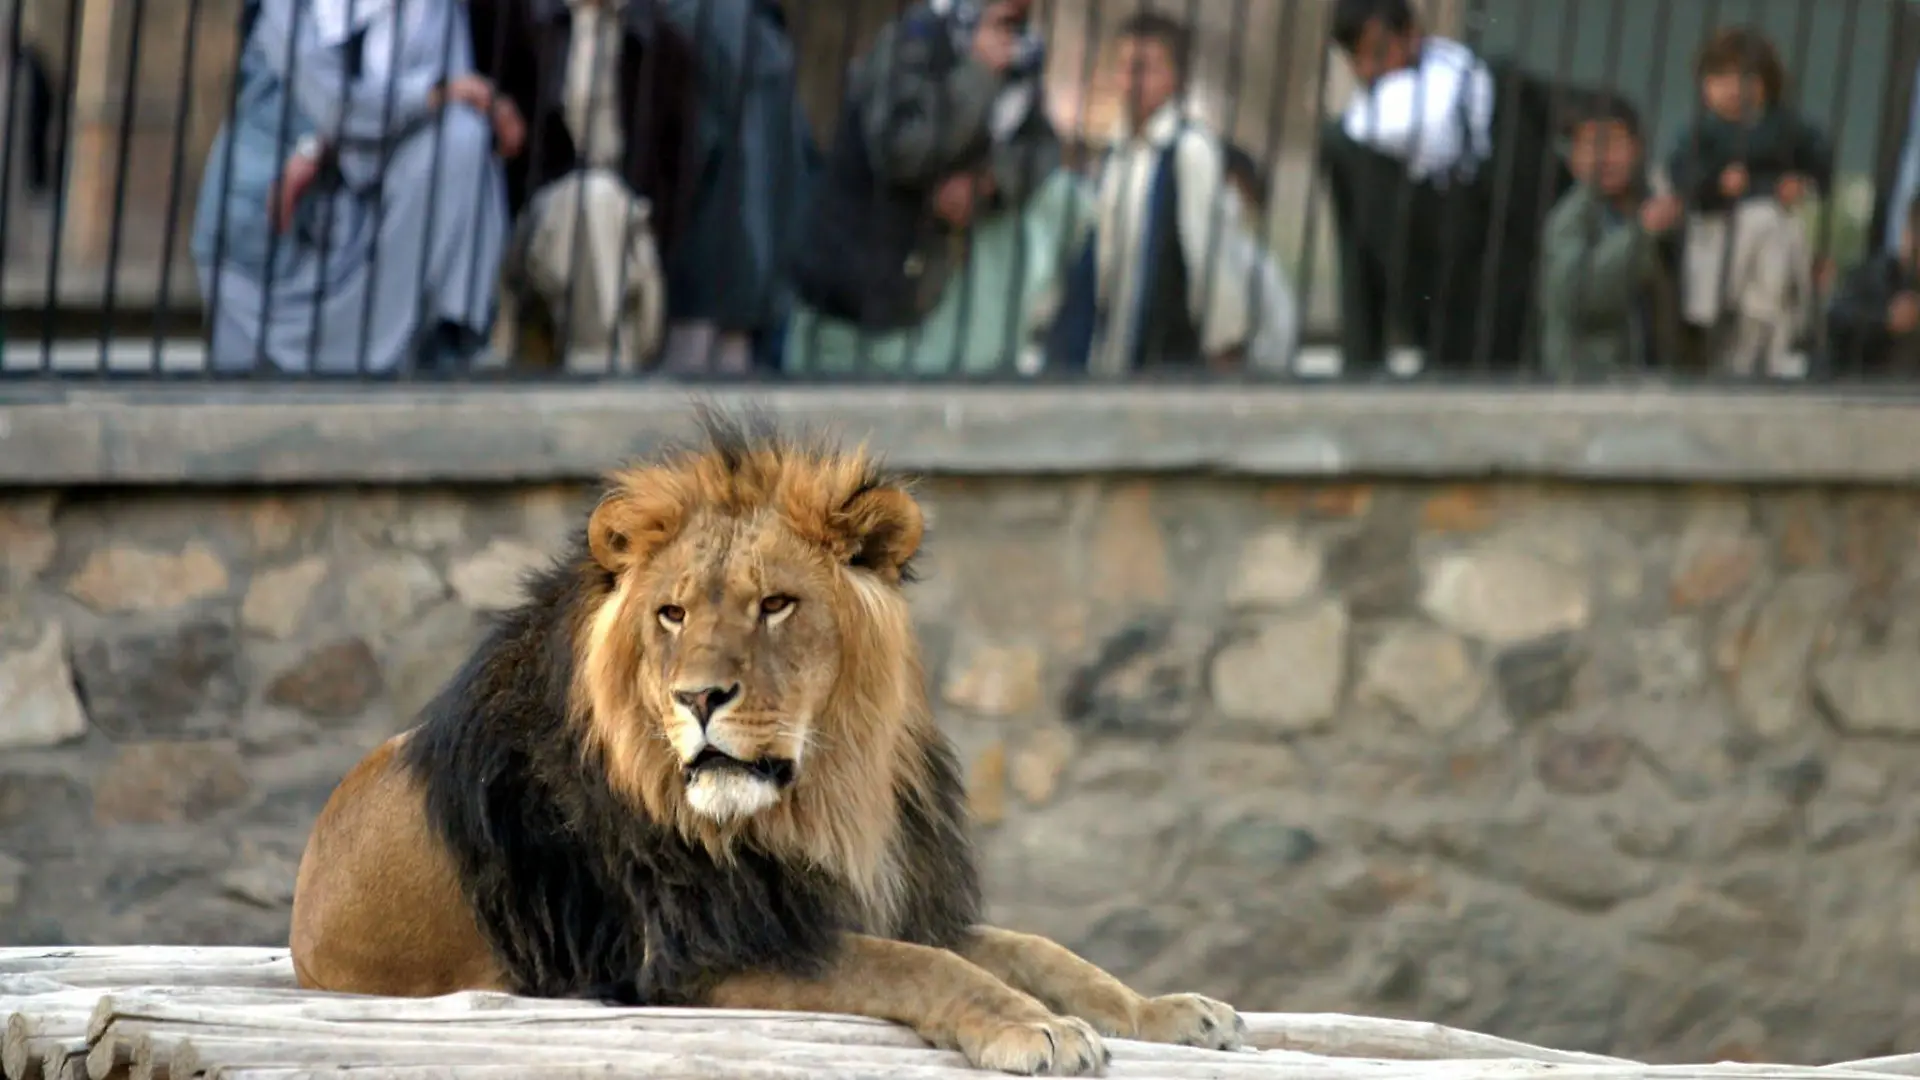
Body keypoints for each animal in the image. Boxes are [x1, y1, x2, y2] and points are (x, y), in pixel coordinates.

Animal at [287, 410, 1245, 1075]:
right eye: (672, 614)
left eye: (775, 604)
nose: (699, 697)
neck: (824, 797)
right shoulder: (706, 951)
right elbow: (914, 966)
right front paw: (1030, 1024)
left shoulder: (868, 897)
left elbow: (1030, 948)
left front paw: (1168, 1011)